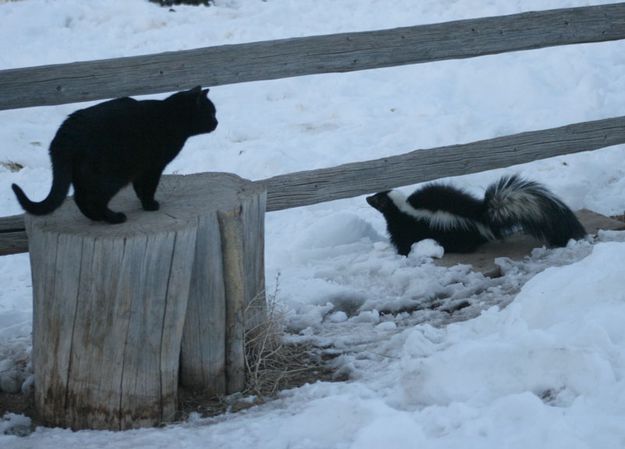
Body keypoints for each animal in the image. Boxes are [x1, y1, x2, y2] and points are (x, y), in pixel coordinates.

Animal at [11, 85, 218, 222]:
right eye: (211, 113)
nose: (217, 122)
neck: (172, 116)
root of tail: (66, 132)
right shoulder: (152, 167)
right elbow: (148, 188)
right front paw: (150, 206)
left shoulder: (141, 169)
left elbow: (139, 189)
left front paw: (145, 204)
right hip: (110, 177)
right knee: (94, 199)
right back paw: (113, 218)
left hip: (83, 175)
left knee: (80, 198)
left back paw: (95, 218)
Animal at [366, 175, 584, 256]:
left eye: (376, 200)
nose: (366, 198)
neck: (401, 208)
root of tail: (480, 213)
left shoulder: (407, 226)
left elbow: (403, 241)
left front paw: (403, 254)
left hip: (456, 230)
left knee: (466, 243)